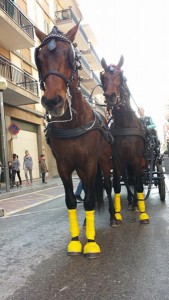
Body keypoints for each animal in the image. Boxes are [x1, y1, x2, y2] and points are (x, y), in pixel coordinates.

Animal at [34, 23, 115, 258]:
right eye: (39, 58)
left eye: (70, 56)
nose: (53, 101)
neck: (72, 124)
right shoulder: (64, 165)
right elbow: (71, 199)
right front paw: (75, 240)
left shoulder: (90, 162)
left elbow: (89, 199)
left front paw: (91, 242)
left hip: (104, 161)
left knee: (107, 186)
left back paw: (113, 217)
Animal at [100, 55, 149, 225]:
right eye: (103, 78)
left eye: (121, 76)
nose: (111, 96)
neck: (125, 124)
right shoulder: (117, 159)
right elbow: (116, 185)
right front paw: (117, 215)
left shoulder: (136, 158)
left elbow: (139, 184)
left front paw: (143, 214)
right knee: (127, 179)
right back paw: (131, 202)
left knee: (134, 180)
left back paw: (135, 203)